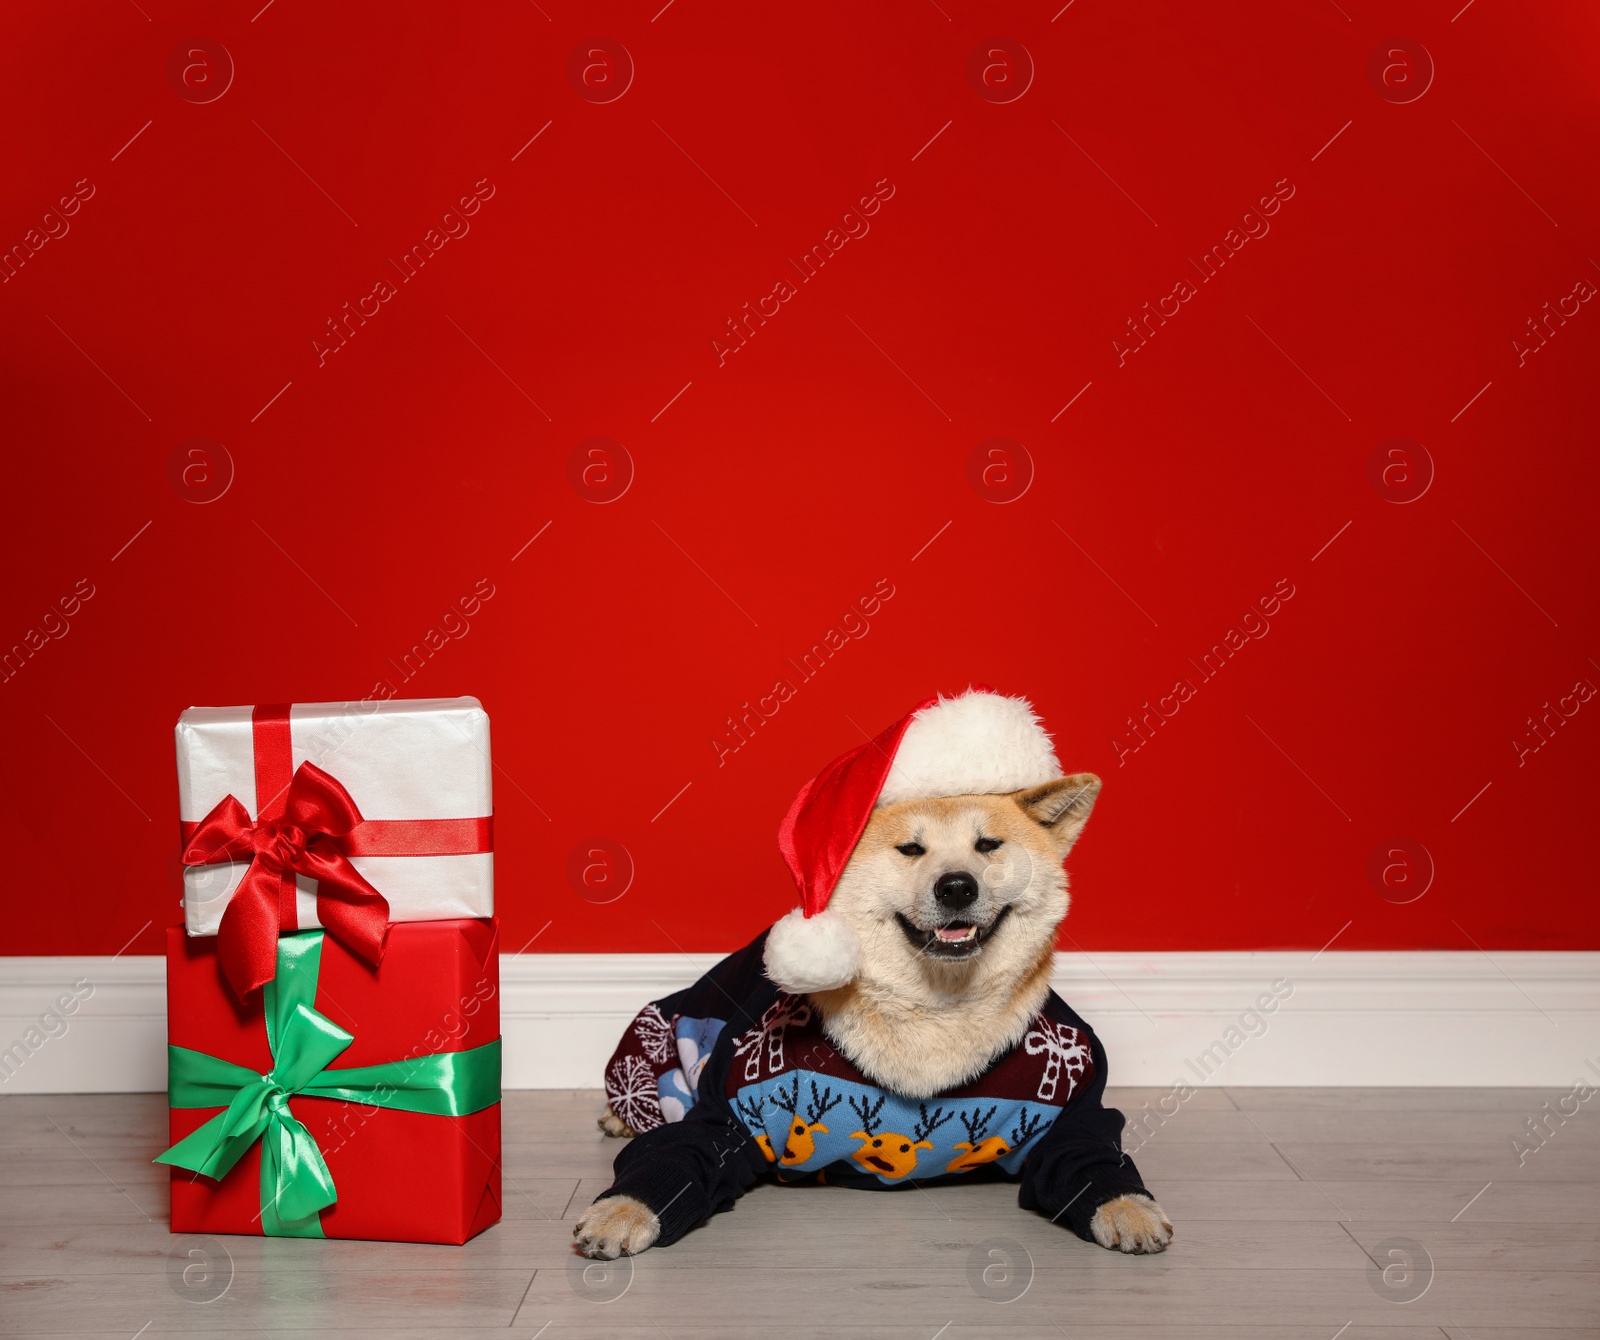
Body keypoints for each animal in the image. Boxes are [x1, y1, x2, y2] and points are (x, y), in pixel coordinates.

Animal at [569, 693, 1171, 1260]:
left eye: (987, 845)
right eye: (910, 849)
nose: (957, 886)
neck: (937, 1011)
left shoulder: (1076, 1102)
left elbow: (1093, 1152)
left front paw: (1129, 1209)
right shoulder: (729, 1110)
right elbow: (676, 1150)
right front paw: (620, 1212)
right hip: (651, 1035)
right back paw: (620, 1116)